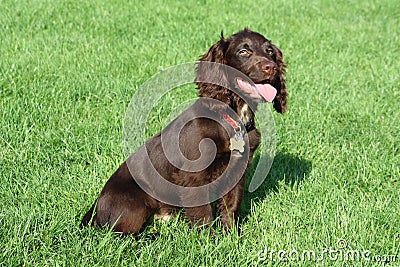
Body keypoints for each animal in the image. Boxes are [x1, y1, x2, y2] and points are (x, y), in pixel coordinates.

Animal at [81, 28, 286, 234]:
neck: (232, 119)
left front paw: (231, 236)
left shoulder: (237, 169)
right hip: (135, 203)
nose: (271, 68)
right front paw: (208, 238)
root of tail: (95, 209)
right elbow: (202, 212)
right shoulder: (193, 176)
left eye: (269, 51)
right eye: (243, 51)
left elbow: (231, 205)